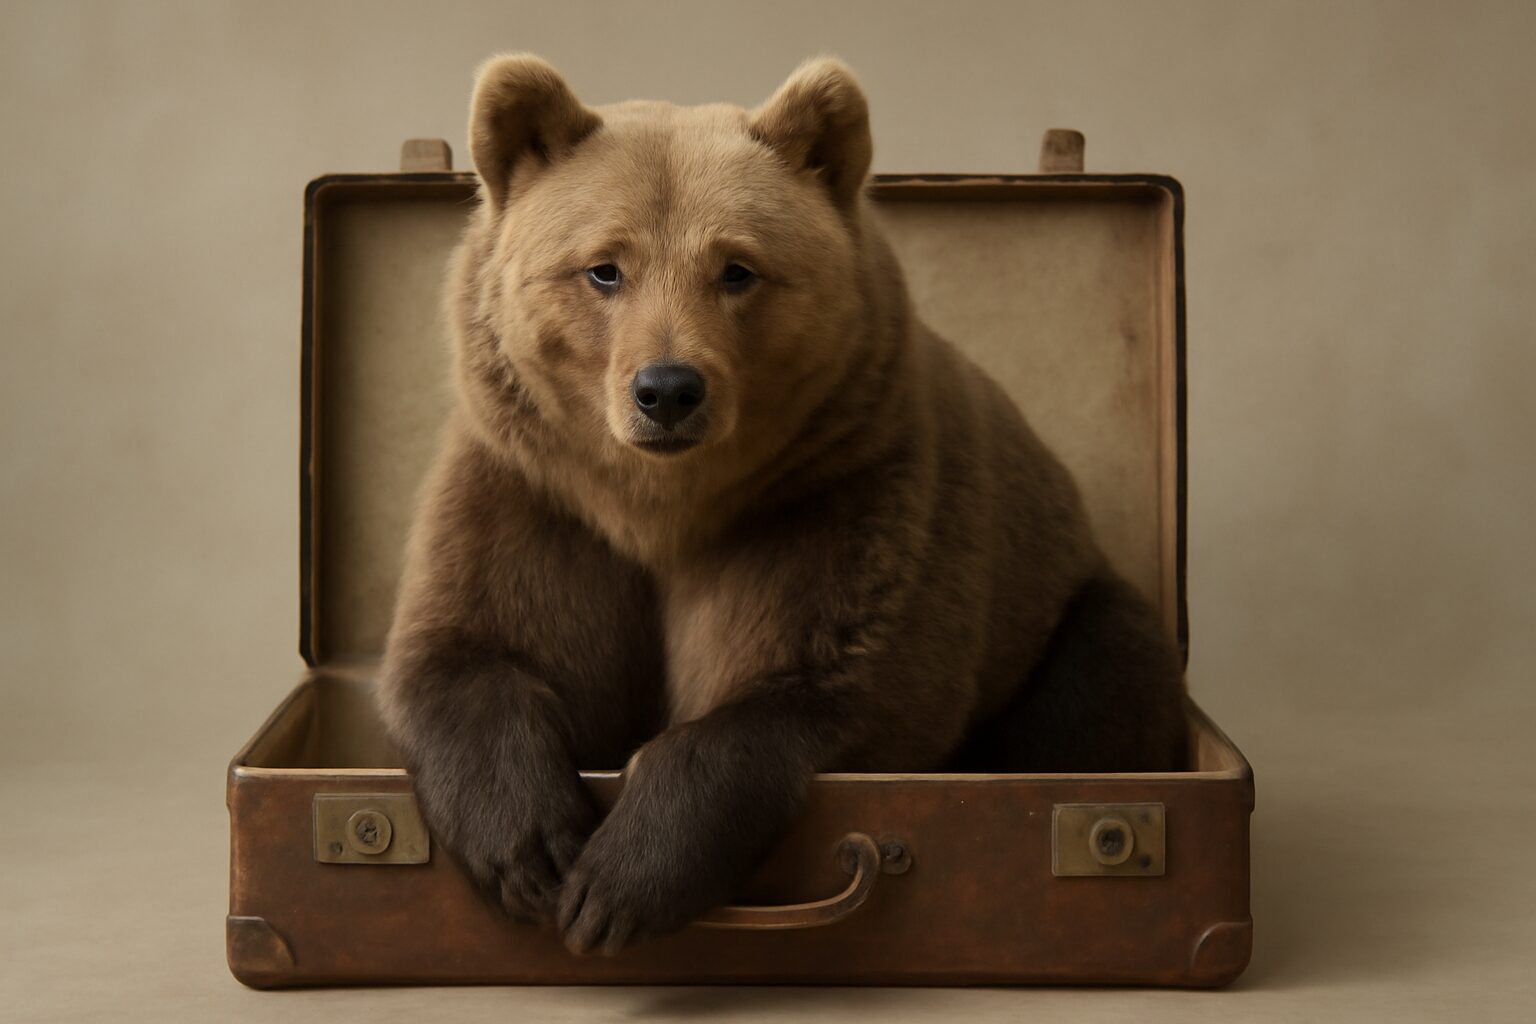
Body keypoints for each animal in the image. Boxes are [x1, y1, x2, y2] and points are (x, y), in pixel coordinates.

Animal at [378, 53, 1187, 957]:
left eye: (737, 268)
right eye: (604, 267)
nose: (668, 389)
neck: (659, 507)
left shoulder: (839, 498)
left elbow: (830, 682)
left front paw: (620, 881)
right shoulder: (535, 496)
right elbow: (468, 648)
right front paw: (534, 852)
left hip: (1064, 614)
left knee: (1105, 681)